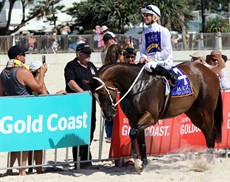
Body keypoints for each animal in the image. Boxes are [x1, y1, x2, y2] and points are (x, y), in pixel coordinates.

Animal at [90, 61, 223, 173]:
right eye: (94, 96)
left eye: (102, 93)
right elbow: (141, 141)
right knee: (206, 132)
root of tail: (211, 72)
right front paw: (143, 164)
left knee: (210, 133)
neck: (138, 85)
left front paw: (137, 162)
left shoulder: (151, 116)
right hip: (193, 113)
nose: (108, 115)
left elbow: (133, 134)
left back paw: (208, 162)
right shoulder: (134, 119)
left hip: (207, 110)